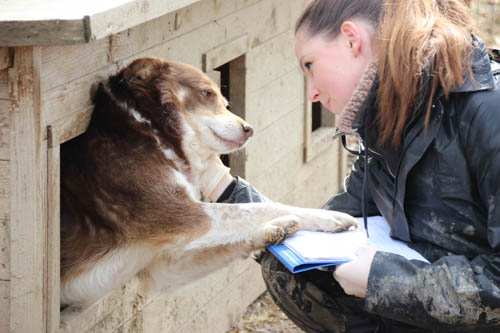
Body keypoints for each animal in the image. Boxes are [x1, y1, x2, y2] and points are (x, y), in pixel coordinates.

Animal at [59, 57, 356, 306]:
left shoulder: (163, 268)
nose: (249, 129)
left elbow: (234, 239)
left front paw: (273, 231)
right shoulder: (182, 214)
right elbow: (258, 207)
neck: (150, 129)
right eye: (207, 93)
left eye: (225, 100)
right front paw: (327, 218)